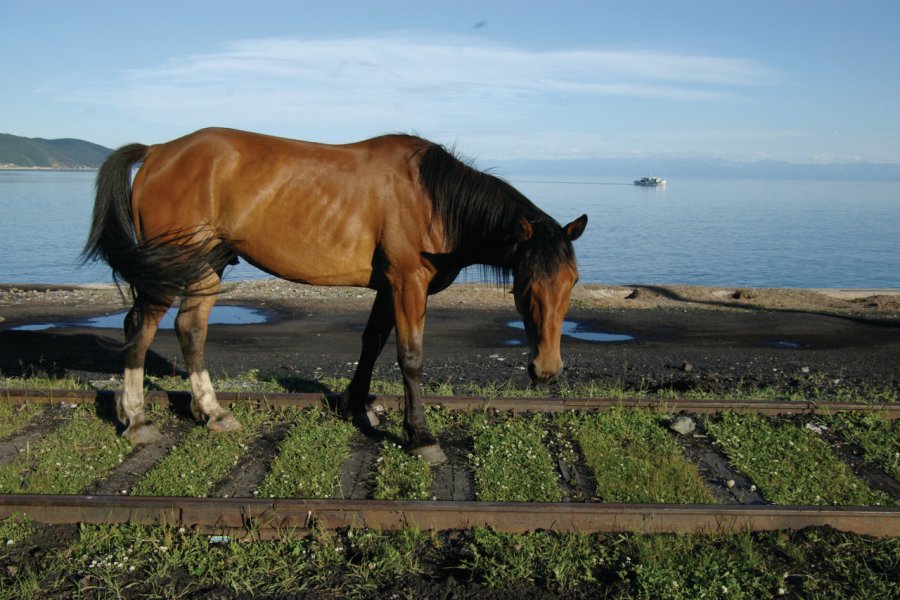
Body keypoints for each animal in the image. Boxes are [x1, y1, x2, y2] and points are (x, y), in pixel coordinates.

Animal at [84, 126, 588, 464]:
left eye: (572, 281)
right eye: (525, 284)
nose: (546, 369)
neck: (433, 199)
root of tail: (157, 152)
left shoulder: (389, 286)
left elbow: (372, 342)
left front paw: (356, 406)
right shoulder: (408, 283)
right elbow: (410, 357)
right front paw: (420, 435)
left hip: (206, 265)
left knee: (191, 329)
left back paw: (212, 412)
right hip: (169, 267)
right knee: (139, 328)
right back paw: (137, 420)